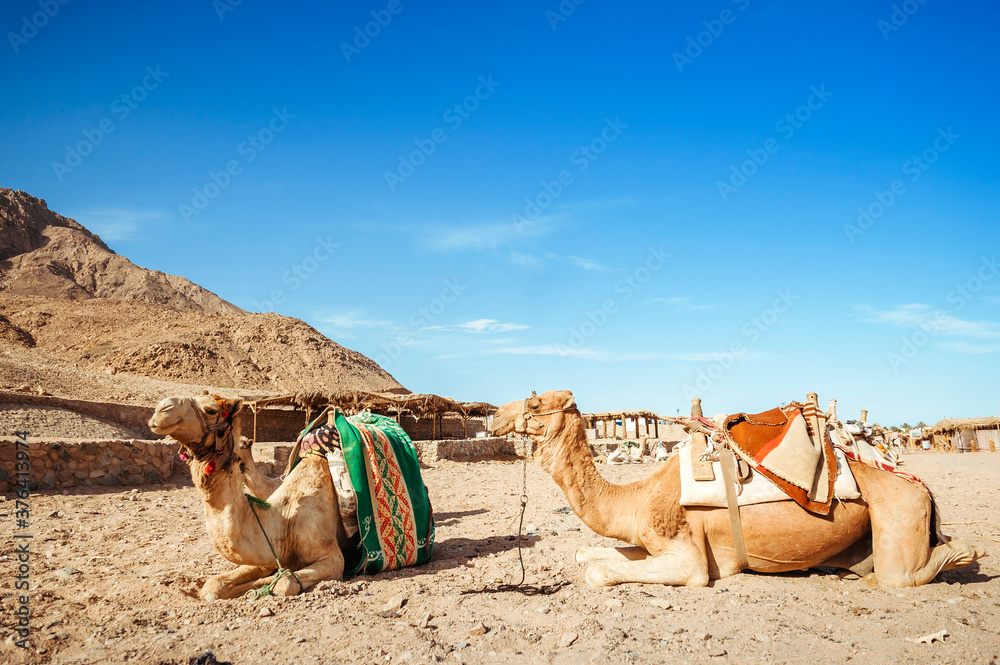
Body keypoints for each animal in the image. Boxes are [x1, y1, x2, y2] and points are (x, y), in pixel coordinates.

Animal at [148, 393, 355, 600]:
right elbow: (214, 584)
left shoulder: (332, 558)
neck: (285, 521)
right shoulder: (267, 557)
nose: (162, 409)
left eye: (211, 411)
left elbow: (284, 582)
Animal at [492, 390, 986, 588]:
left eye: (534, 401)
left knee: (909, 571)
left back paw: (971, 551)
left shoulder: (690, 560)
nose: (495, 415)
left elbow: (597, 571)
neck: (634, 497)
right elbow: (587, 554)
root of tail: (920, 486)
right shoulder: (651, 540)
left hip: (900, 511)